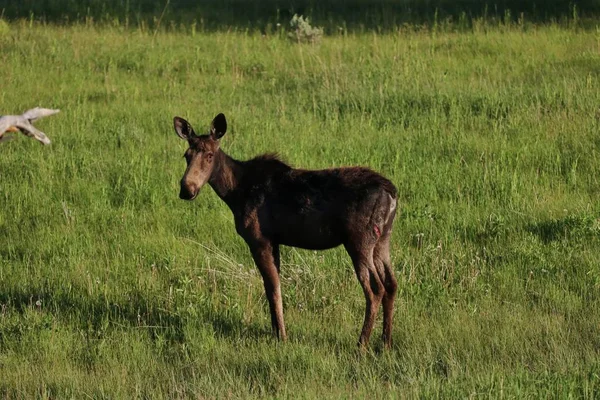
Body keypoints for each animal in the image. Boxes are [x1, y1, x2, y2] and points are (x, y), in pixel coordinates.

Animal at [173, 111, 398, 346]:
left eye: (209, 155)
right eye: (186, 155)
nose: (186, 189)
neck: (234, 193)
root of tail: (392, 194)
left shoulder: (259, 239)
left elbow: (273, 288)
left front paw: (281, 335)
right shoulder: (274, 241)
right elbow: (272, 285)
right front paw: (275, 330)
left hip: (359, 240)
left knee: (375, 288)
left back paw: (362, 344)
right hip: (382, 239)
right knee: (391, 284)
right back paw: (385, 343)